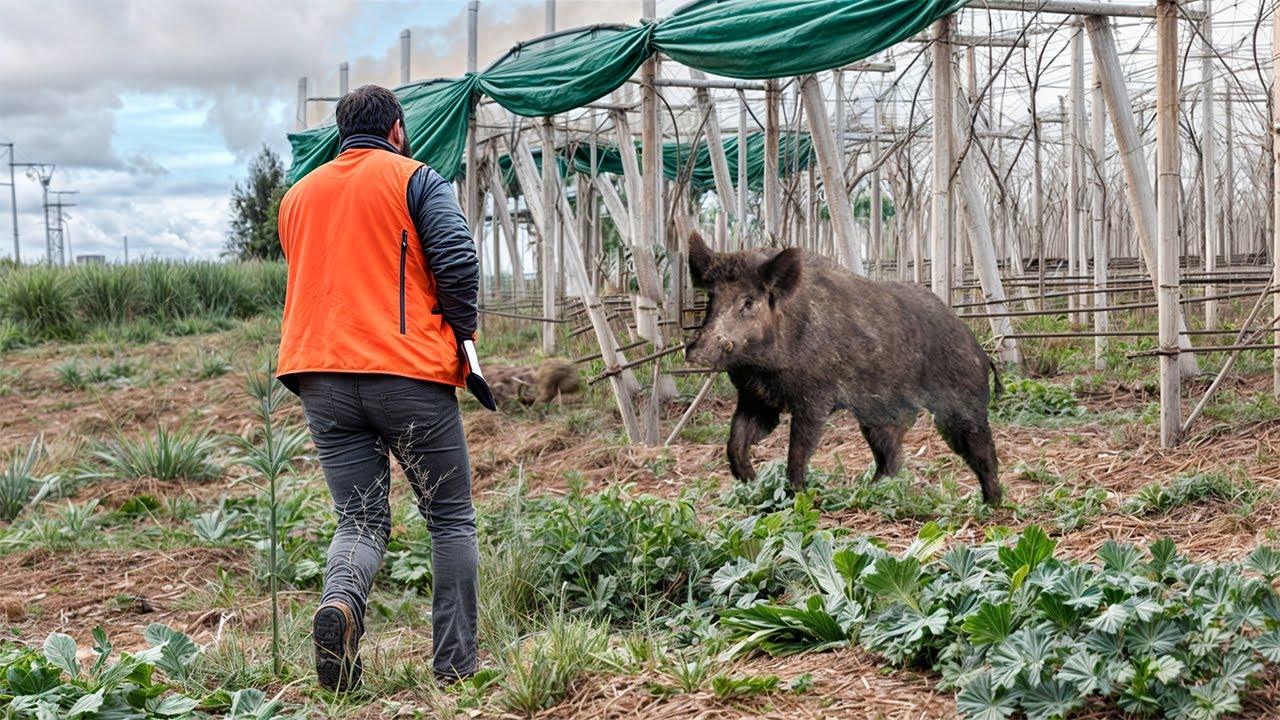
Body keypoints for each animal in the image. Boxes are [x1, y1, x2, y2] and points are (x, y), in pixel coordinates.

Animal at [685, 232, 1003, 505]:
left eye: (748, 302)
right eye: (712, 298)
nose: (696, 352)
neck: (763, 369)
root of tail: (980, 349)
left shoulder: (815, 399)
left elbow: (798, 451)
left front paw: (799, 496)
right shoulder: (755, 400)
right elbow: (736, 443)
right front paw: (751, 480)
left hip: (961, 400)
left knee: (982, 449)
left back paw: (992, 504)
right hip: (880, 413)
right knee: (891, 455)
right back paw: (868, 492)